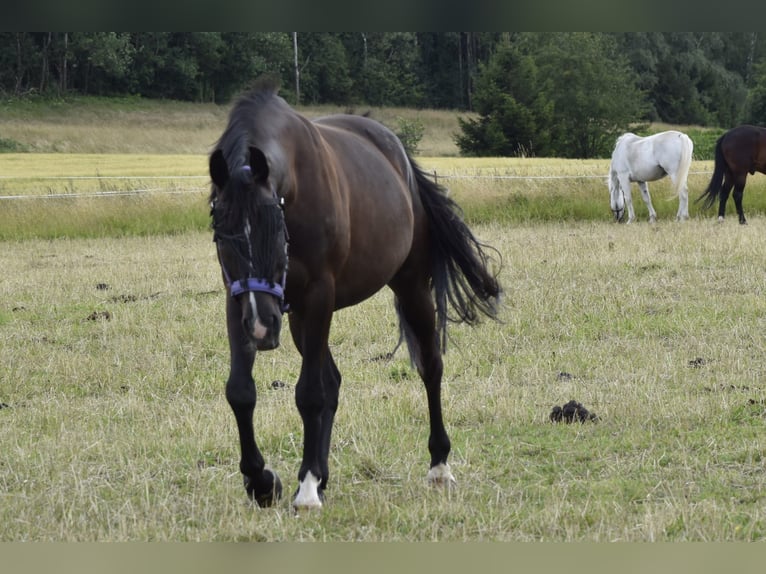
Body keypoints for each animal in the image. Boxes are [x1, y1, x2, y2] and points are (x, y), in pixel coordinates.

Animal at [208, 79, 504, 510]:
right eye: (222, 236)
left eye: (277, 231)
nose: (262, 329)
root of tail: (400, 158)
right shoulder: (240, 300)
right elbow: (241, 392)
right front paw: (262, 482)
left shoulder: (319, 295)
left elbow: (310, 394)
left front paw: (306, 488)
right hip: (295, 317)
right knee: (332, 380)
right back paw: (320, 474)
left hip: (409, 289)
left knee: (430, 368)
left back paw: (438, 467)